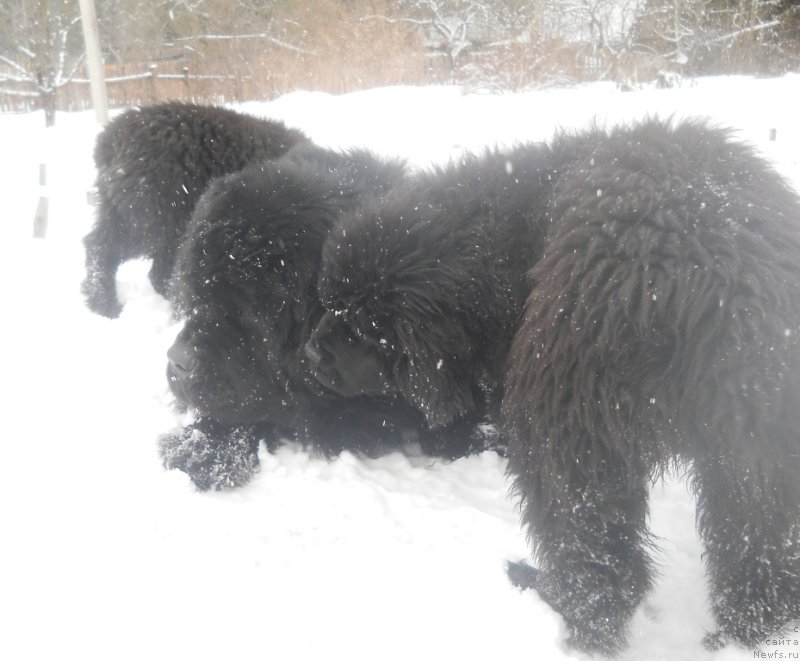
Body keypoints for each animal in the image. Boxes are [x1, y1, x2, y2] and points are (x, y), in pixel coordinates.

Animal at [81, 102, 306, 318]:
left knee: (99, 248)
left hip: (125, 214)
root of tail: (110, 140)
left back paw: (102, 305)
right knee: (149, 270)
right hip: (158, 220)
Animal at [306, 120, 800, 656]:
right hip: (760, 435)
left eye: (365, 326)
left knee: (592, 544)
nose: (310, 352)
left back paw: (559, 603)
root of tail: (700, 274)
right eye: (333, 302)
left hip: (565, 409)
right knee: (758, 541)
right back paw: (748, 631)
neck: (493, 252)